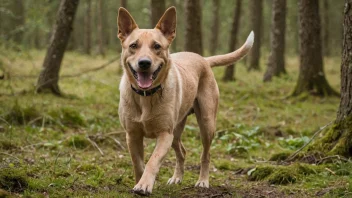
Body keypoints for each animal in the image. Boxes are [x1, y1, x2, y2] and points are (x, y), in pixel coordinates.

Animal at [117, 6, 253, 195]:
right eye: (133, 46)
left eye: (157, 46)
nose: (144, 63)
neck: (146, 96)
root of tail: (203, 59)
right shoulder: (132, 135)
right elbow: (138, 164)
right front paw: (140, 182)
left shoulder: (165, 134)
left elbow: (153, 161)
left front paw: (144, 185)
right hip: (177, 129)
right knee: (182, 151)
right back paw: (176, 178)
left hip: (206, 124)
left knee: (206, 154)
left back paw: (203, 181)